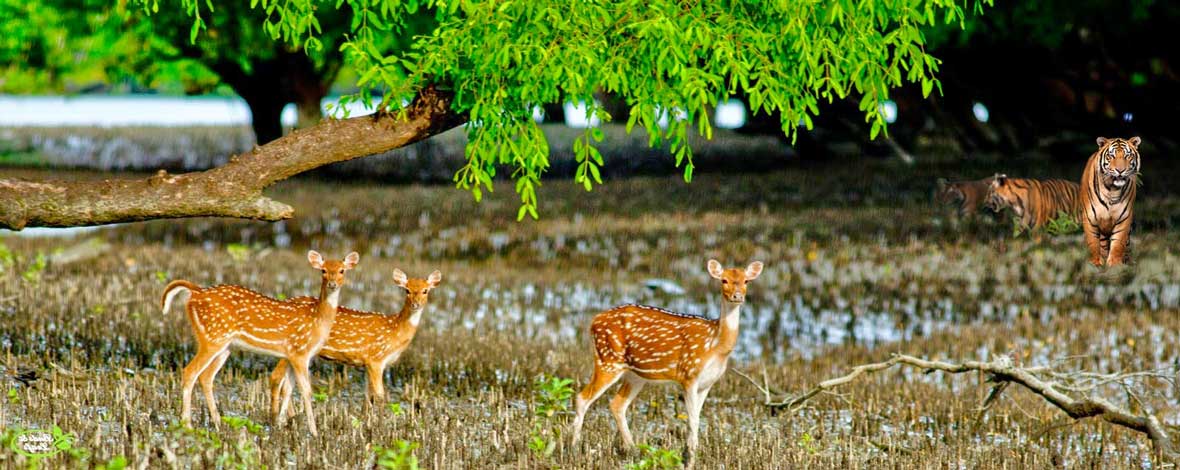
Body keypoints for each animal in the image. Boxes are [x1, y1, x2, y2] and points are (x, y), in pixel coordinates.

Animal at [160, 251, 358, 434]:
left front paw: (279, 424)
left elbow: (288, 389)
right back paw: (187, 424)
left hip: (224, 345)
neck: (317, 320)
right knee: (189, 372)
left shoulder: (291, 354)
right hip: (212, 337)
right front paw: (314, 431)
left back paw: (218, 423)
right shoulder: (300, 352)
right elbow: (306, 391)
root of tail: (195, 292)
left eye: (342, 270)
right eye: (323, 270)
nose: (332, 284)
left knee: (206, 376)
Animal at [267, 268, 443, 418]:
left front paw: (366, 421)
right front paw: (382, 423)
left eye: (426, 290)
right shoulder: (375, 359)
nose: (416, 304)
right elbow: (380, 396)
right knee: (276, 377)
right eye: (407, 290)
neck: (395, 332)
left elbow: (368, 397)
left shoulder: (368, 363)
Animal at [568, 258, 764, 458]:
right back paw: (574, 447)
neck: (716, 345)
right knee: (582, 398)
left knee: (617, 404)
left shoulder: (708, 382)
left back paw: (633, 448)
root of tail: (593, 321)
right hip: (608, 360)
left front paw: (694, 450)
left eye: (746, 281)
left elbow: (697, 417)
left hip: (634, 375)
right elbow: (692, 419)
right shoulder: (688, 374)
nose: (737, 296)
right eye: (724, 280)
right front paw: (690, 453)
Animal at [1080, 137, 1142, 265]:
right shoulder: (1089, 217)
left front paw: (1115, 264)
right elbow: (1092, 243)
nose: (1120, 170)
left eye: (1127, 156)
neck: (1112, 190)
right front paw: (1095, 263)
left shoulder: (1124, 218)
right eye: (1111, 156)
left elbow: (1118, 243)